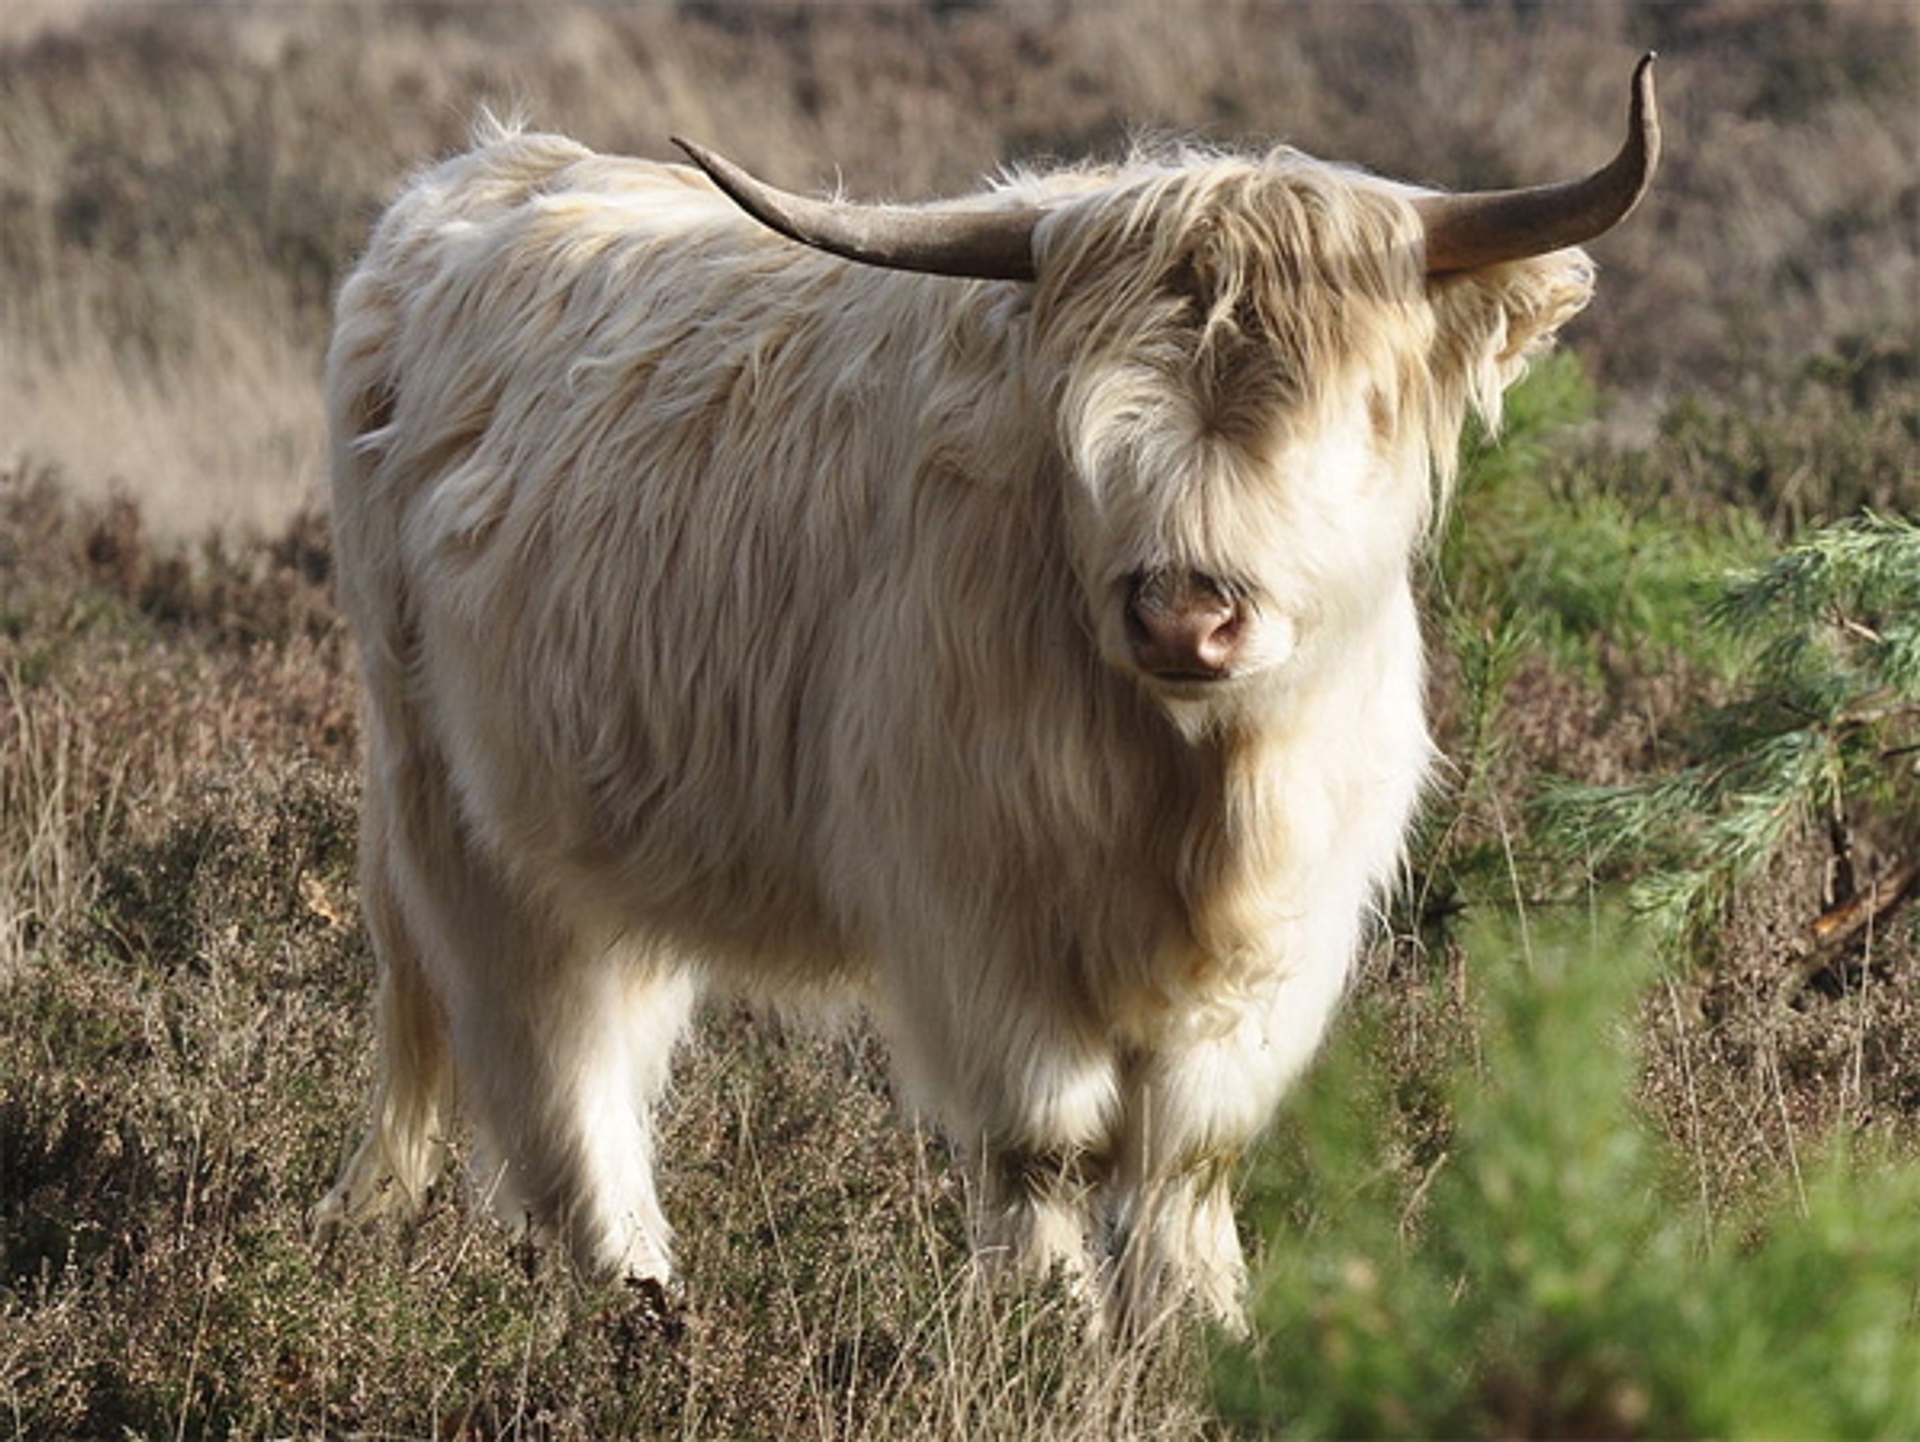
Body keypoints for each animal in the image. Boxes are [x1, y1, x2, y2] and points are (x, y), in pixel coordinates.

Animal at [311, 61, 1651, 1336]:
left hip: (611, 823)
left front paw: (1204, 1326)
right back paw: (638, 1295)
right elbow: (1045, 1139)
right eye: (1095, 426)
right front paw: (1044, 1323)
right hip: (456, 810)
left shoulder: (1288, 922)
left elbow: (1188, 1149)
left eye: (1355, 407)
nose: (1184, 614)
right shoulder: (978, 903)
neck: (1194, 782)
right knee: (549, 1053)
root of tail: (484, 173)